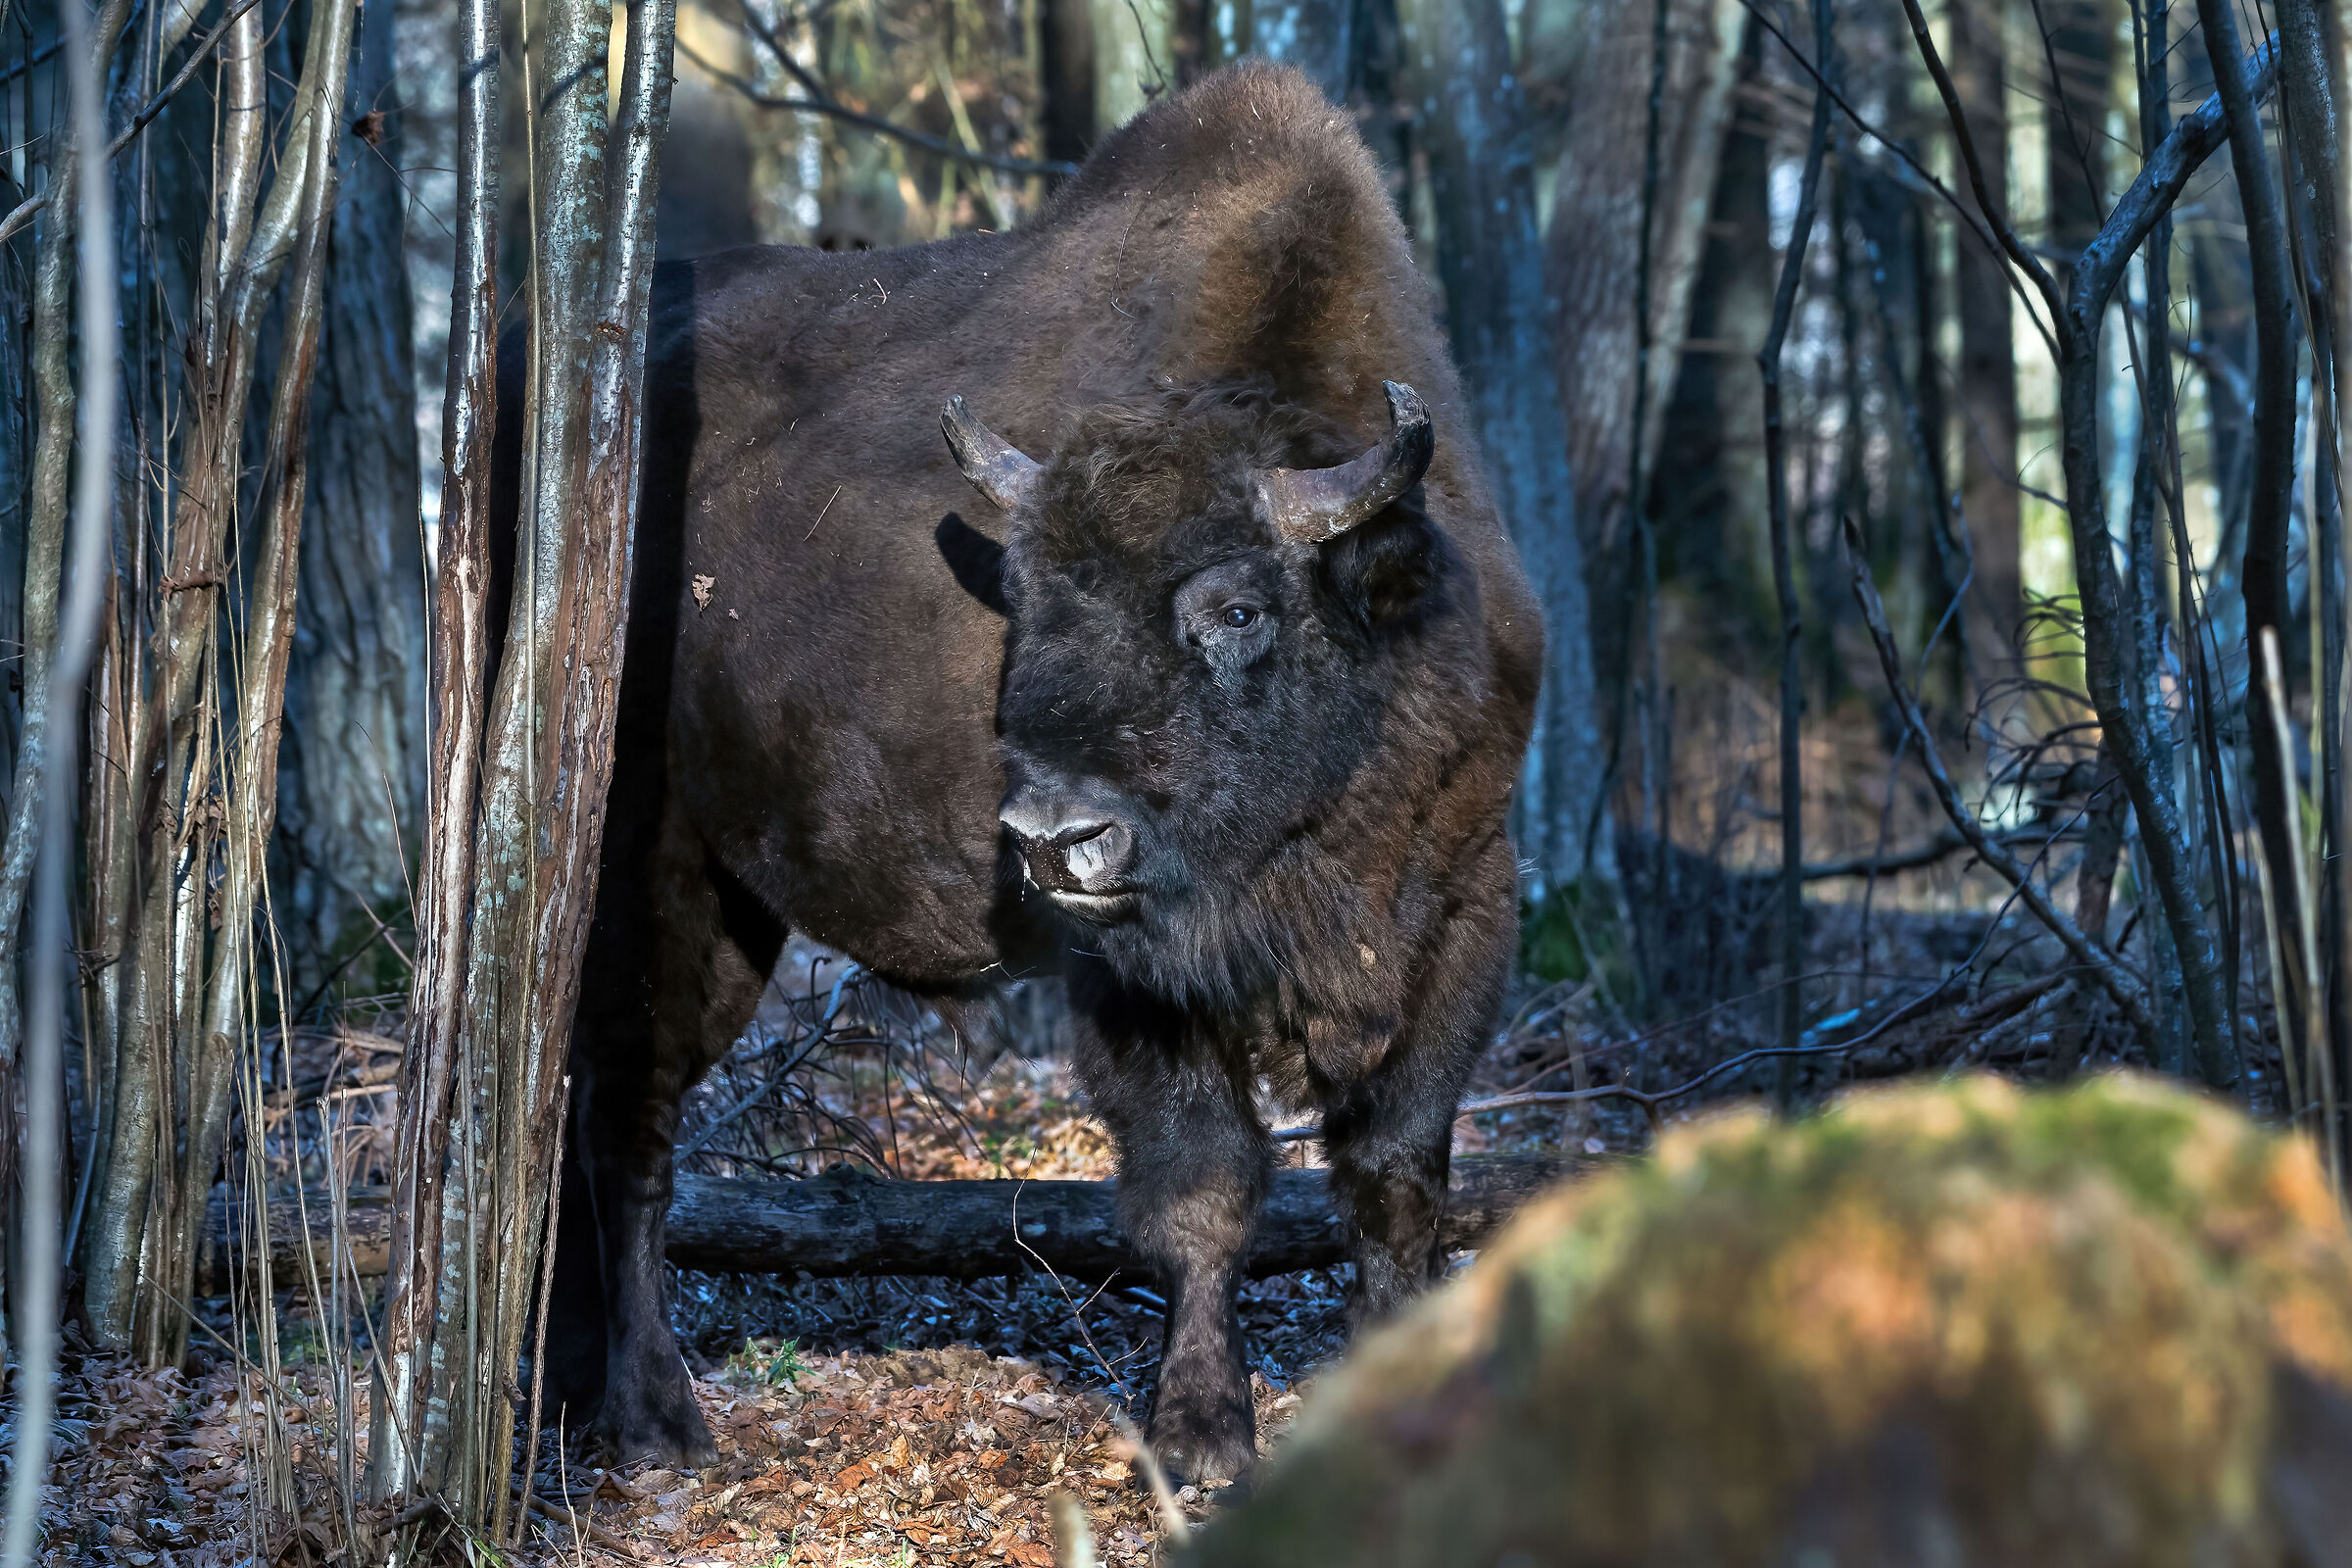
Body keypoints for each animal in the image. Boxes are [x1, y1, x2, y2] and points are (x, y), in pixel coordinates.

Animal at [519, 62, 1543, 1484]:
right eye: (1031, 597)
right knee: (631, 1119)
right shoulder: (1129, 978)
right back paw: (657, 1420)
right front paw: (1205, 1438)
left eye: (1234, 607)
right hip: (652, 871)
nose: (1056, 838)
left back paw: (567, 1388)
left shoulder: (1461, 907)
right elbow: (1208, 1187)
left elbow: (1396, 1184)